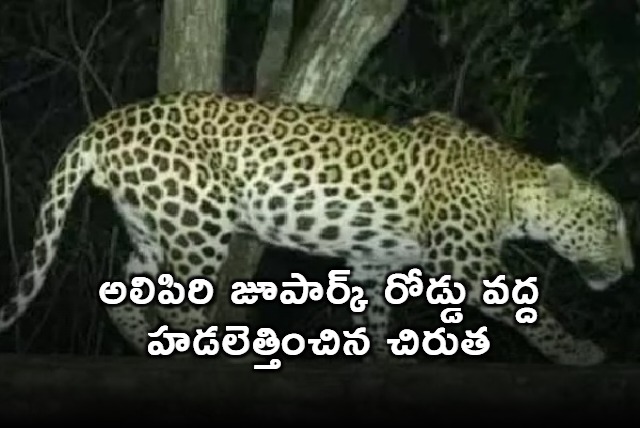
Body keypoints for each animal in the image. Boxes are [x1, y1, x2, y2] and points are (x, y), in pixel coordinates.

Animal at [0, 91, 634, 366]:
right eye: (610, 224)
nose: (629, 268)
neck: (512, 185)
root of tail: (105, 124)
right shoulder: (468, 260)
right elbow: (534, 311)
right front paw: (577, 351)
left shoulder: (373, 261)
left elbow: (374, 316)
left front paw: (380, 361)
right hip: (199, 220)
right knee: (178, 303)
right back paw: (206, 354)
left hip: (155, 221)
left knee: (122, 287)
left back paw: (138, 340)